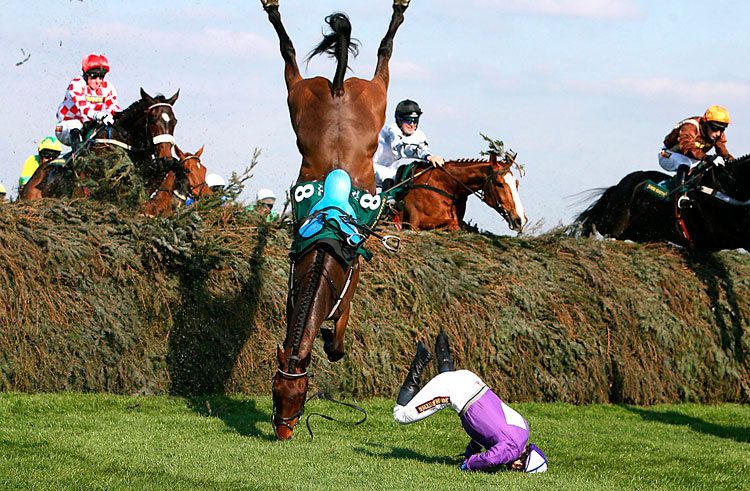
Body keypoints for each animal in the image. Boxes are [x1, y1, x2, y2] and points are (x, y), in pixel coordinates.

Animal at [262, 0, 418, 438]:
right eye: (276, 392)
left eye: (299, 395)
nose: (283, 432)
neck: (323, 251)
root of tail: (336, 87)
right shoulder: (296, 289)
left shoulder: (349, 286)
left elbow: (336, 338)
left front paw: (334, 345)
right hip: (307, 96)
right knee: (291, 55)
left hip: (363, 95)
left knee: (381, 55)